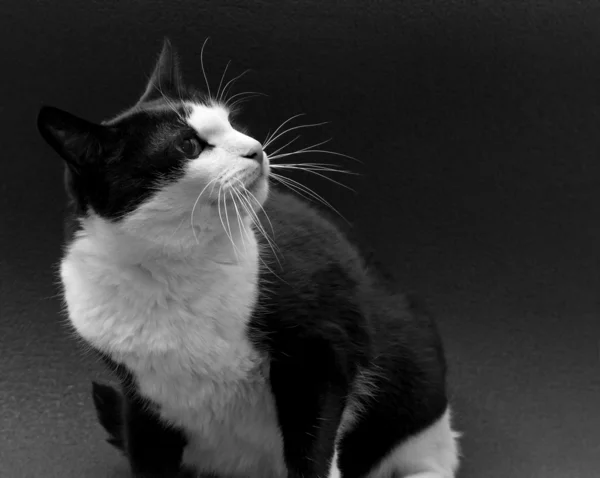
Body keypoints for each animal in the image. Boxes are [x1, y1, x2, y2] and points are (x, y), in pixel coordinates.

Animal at [36, 38, 460, 478]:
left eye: (230, 123)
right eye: (188, 145)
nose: (255, 149)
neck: (171, 271)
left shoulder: (318, 353)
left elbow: (312, 449)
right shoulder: (141, 396)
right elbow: (146, 453)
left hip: (415, 381)